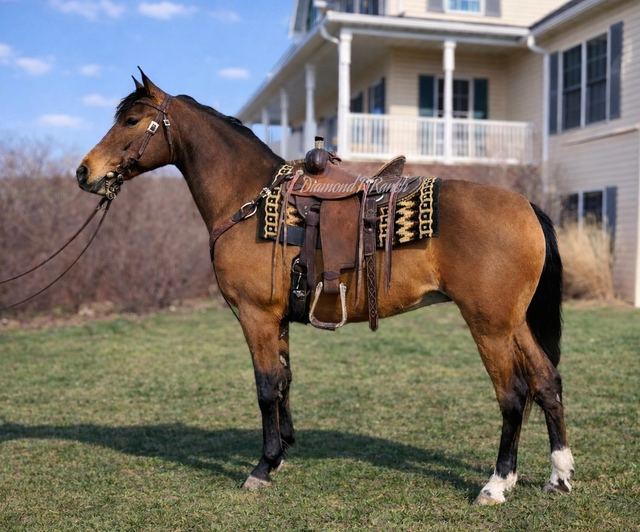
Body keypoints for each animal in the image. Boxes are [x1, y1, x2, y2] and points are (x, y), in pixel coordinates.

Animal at [75, 71, 574, 505]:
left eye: (131, 121)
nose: (84, 172)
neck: (251, 201)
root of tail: (526, 205)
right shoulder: (276, 319)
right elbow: (283, 381)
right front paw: (280, 454)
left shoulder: (256, 316)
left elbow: (264, 387)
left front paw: (263, 467)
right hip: (514, 323)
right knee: (546, 382)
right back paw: (559, 475)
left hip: (489, 325)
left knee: (513, 395)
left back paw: (497, 484)